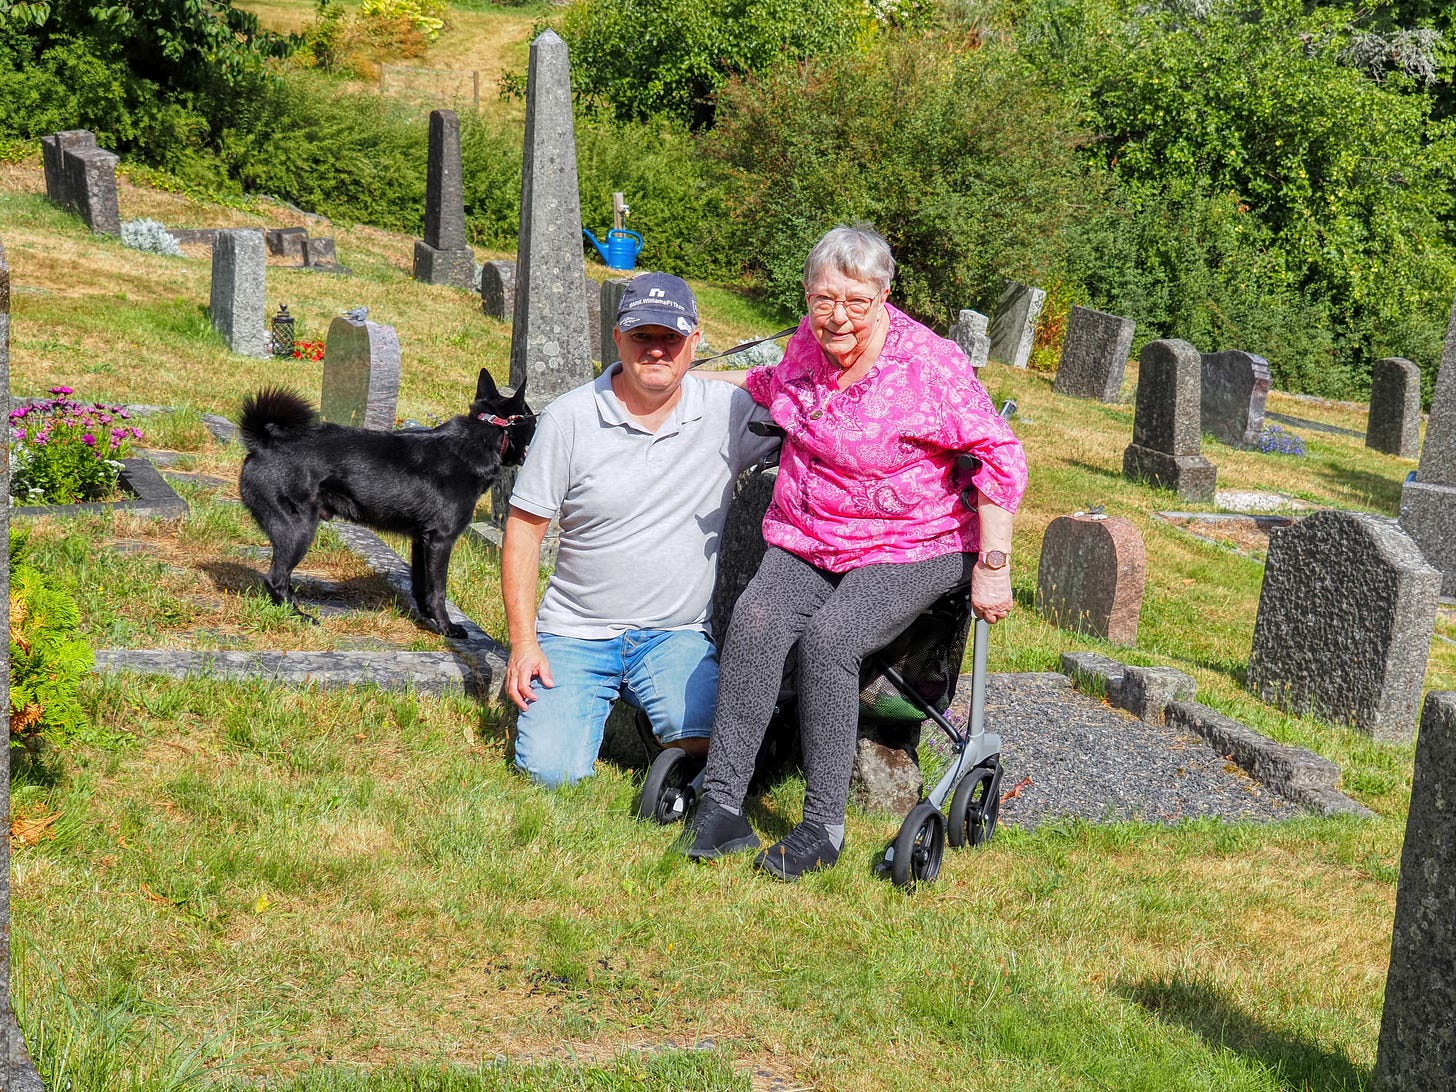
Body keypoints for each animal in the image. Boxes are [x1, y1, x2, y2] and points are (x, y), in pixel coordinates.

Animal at [237, 369, 533, 638]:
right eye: (531, 419)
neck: (479, 440)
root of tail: (263, 444)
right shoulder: (441, 540)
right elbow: (438, 589)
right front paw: (447, 627)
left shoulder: (421, 540)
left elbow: (420, 586)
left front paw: (427, 618)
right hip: (297, 529)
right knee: (276, 578)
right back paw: (299, 616)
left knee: (283, 578)